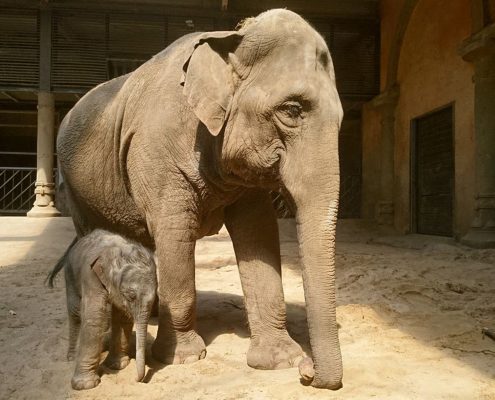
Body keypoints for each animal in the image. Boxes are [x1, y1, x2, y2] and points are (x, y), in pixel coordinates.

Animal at [48, 230, 157, 390]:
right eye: (131, 296)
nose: (137, 380)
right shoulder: (90, 277)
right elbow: (95, 316)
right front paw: (85, 385)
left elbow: (122, 317)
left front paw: (118, 365)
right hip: (70, 274)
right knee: (75, 313)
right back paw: (72, 357)